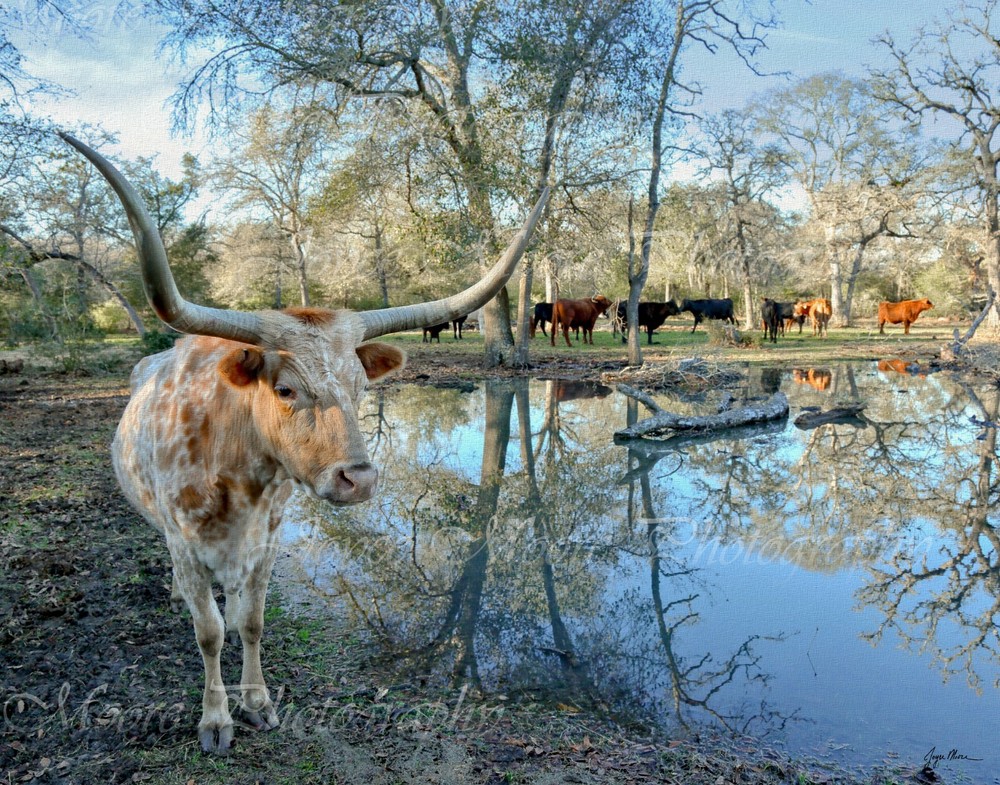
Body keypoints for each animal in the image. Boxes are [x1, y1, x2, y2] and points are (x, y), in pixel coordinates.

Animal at [61, 133, 547, 755]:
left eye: (362, 385)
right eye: (286, 388)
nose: (359, 478)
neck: (234, 468)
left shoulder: (266, 542)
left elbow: (251, 622)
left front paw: (258, 703)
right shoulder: (186, 543)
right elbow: (208, 631)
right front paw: (216, 719)